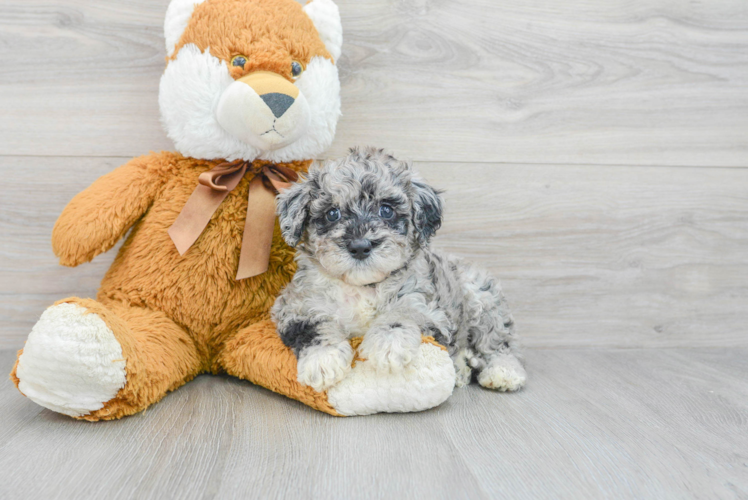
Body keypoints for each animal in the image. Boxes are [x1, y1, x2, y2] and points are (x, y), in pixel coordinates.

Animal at [270, 146, 524, 392]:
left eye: (386, 210)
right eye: (332, 213)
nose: (360, 246)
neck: (363, 288)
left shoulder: (428, 309)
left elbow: (402, 313)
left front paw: (388, 344)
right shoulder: (295, 306)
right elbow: (314, 327)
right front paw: (324, 360)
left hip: (483, 300)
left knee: (496, 343)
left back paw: (503, 372)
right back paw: (462, 370)